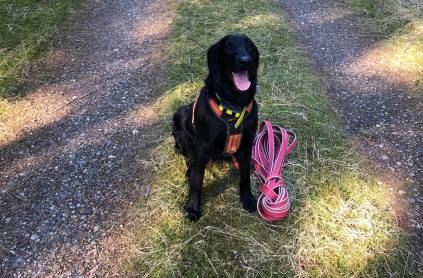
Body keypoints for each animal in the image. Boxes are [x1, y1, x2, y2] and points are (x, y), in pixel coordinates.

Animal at [171, 33, 258, 220]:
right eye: (228, 45)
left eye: (249, 45)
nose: (245, 61)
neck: (233, 105)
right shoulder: (202, 148)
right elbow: (197, 182)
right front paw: (193, 208)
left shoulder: (247, 145)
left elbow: (245, 176)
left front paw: (247, 198)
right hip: (179, 115)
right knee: (188, 157)